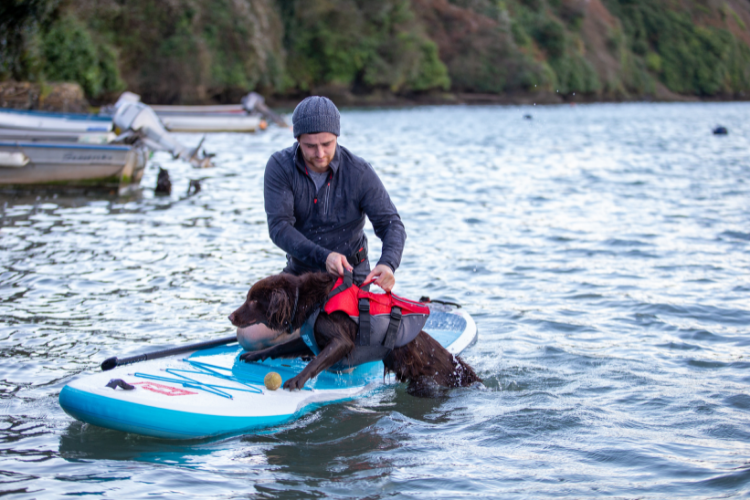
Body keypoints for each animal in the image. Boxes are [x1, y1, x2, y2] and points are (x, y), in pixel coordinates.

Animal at [226, 272, 482, 396]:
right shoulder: (310, 337)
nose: (230, 317)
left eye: (253, 301)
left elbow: (315, 362)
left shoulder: (341, 342)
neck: (309, 300)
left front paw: (296, 380)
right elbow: (280, 347)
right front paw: (253, 356)